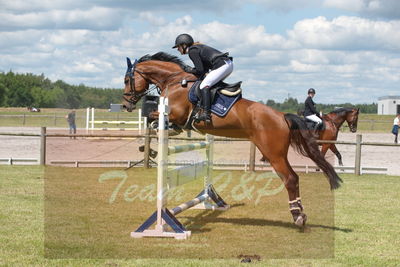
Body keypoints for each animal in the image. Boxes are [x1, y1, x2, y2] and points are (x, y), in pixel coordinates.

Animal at [121, 52, 340, 228]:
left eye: (126, 79)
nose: (125, 105)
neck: (175, 82)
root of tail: (282, 116)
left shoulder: (175, 114)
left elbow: (152, 120)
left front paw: (149, 150)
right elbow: (156, 123)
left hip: (273, 153)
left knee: (290, 179)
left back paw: (297, 216)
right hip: (277, 153)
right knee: (293, 178)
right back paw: (299, 213)